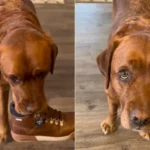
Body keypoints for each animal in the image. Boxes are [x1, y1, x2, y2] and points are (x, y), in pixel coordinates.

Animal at [0, 0, 57, 142]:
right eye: (13, 78)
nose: (33, 109)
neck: (17, 23)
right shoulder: (2, 84)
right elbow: (2, 110)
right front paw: (3, 132)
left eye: (42, 73)